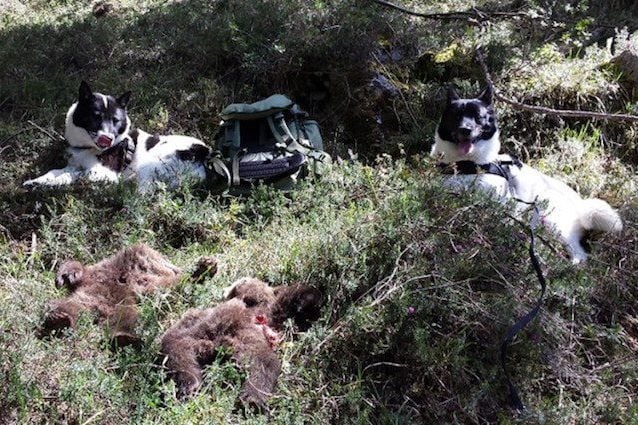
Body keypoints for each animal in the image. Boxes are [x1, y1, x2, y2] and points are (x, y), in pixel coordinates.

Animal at [24, 80, 210, 192]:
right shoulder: (74, 164)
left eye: (115, 120)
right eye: (96, 116)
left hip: (149, 165)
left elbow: (74, 175)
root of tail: (205, 152)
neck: (88, 148)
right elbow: (55, 172)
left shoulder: (102, 173)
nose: (107, 139)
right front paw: (37, 181)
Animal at [432, 85, 624, 264]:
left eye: (478, 117)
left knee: (579, 254)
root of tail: (580, 206)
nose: (465, 129)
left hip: (548, 216)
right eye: (456, 116)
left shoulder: (503, 206)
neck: (468, 164)